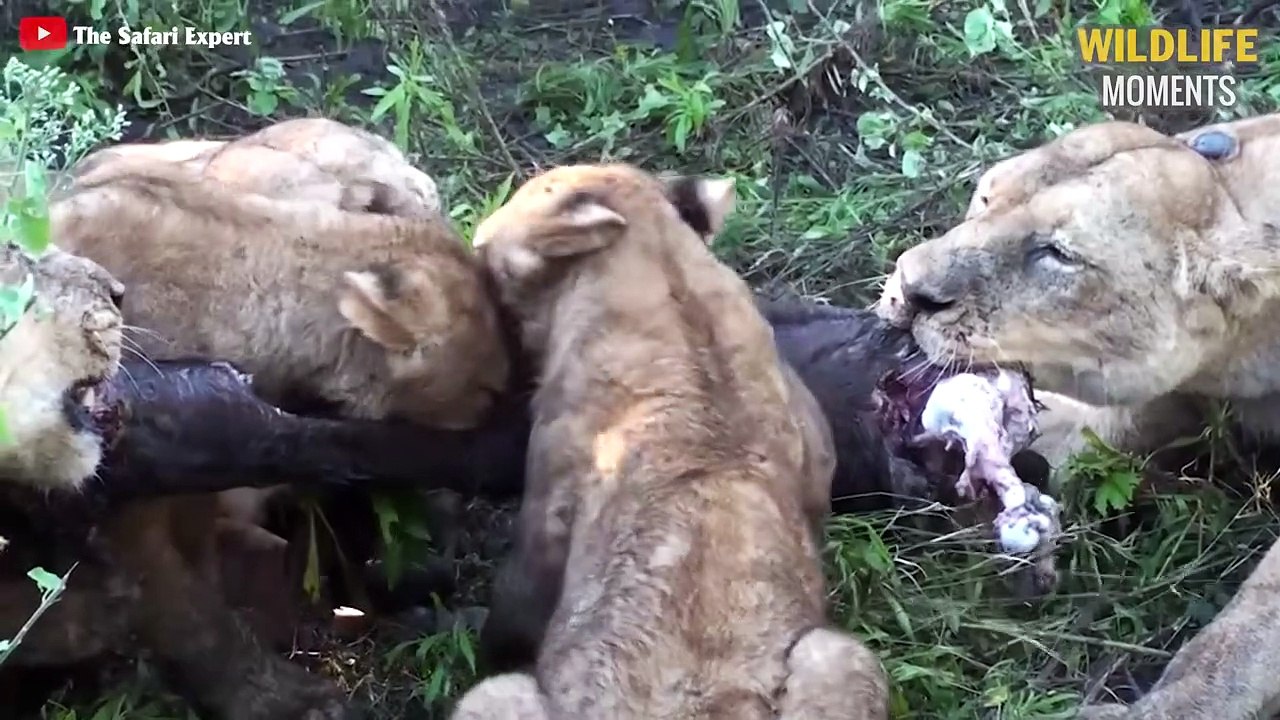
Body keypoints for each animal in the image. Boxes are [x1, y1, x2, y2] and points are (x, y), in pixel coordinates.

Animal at [453, 163, 889, 719]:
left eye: (485, 252)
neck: (664, 264)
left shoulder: (548, 504)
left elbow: (514, 605)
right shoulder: (815, 457)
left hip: (496, 696)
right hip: (842, 656)